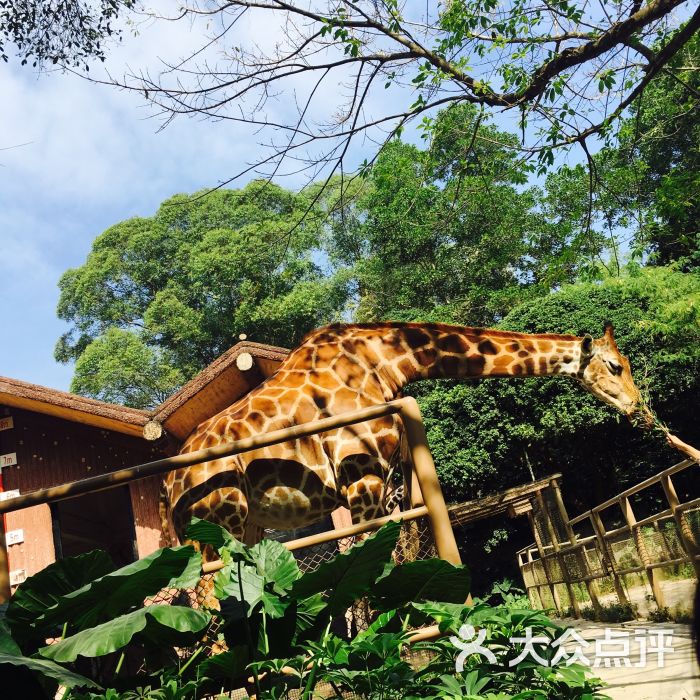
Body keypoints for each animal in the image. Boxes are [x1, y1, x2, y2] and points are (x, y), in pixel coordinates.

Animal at [161, 320, 644, 544]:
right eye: (616, 366)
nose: (640, 408)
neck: (385, 360)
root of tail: (168, 485)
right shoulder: (362, 477)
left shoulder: (393, 481)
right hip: (219, 522)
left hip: (245, 527)